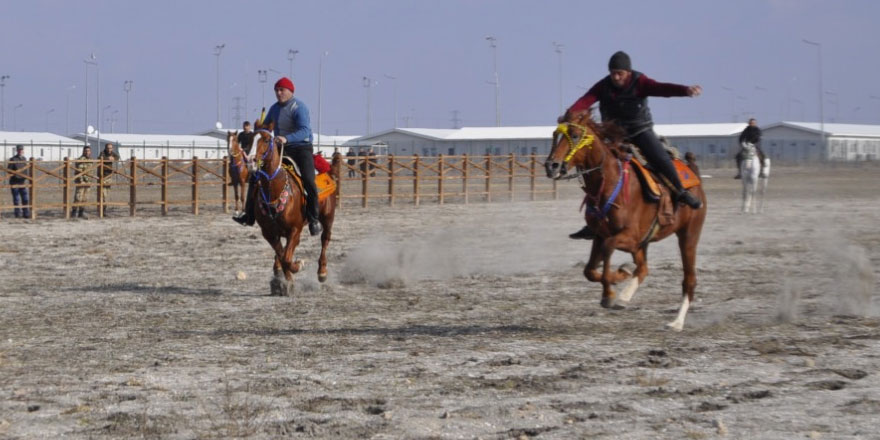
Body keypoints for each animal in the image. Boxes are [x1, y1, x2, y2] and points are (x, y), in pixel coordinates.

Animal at [251, 121, 344, 296]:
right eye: (248, 139)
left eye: (266, 140)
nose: (251, 161)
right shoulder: (269, 233)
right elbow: (282, 255)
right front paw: (285, 281)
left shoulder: (294, 229)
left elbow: (287, 258)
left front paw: (297, 267)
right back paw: (277, 271)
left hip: (328, 217)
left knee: (325, 239)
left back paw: (322, 272)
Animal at [544, 110, 708, 330]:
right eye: (555, 134)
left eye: (575, 135)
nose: (551, 165)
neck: (611, 185)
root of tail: (693, 173)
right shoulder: (601, 235)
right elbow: (589, 271)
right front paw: (620, 277)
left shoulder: (630, 237)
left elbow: (608, 251)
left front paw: (609, 293)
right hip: (646, 243)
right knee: (644, 269)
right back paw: (625, 297)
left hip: (688, 235)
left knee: (689, 279)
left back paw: (676, 322)